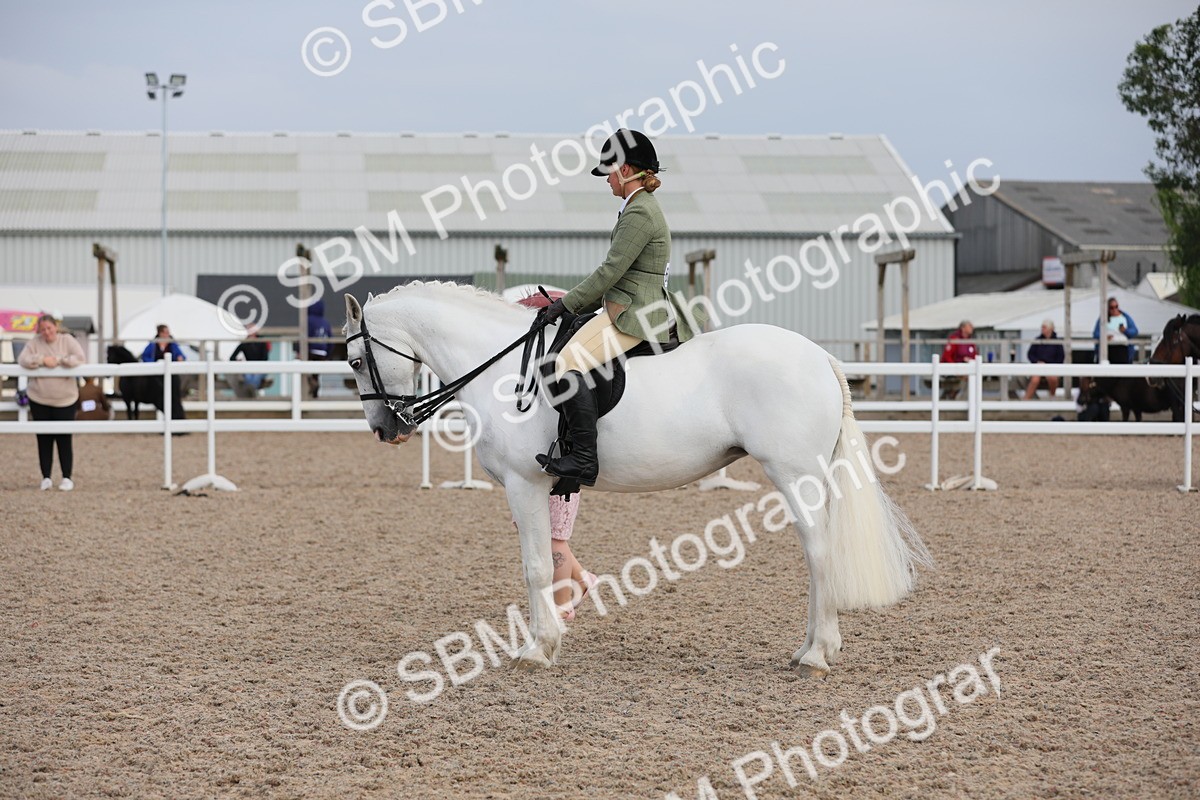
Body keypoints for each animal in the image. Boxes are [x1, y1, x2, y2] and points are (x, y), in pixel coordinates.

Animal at [343, 281, 931, 678]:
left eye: (353, 361)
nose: (384, 429)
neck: (503, 371)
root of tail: (819, 356)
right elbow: (548, 563)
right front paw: (551, 639)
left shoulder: (523, 484)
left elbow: (535, 568)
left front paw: (537, 649)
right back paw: (809, 648)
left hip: (795, 473)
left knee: (819, 553)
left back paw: (816, 656)